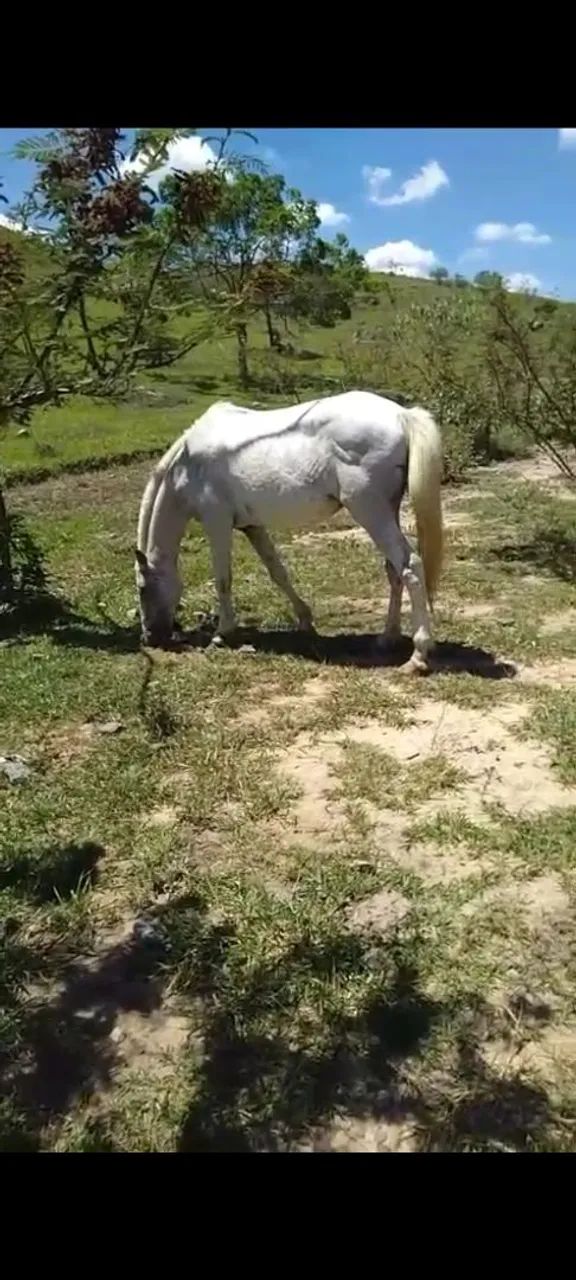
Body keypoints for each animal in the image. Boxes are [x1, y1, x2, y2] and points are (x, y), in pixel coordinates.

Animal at [135, 389, 444, 674]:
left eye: (142, 589)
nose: (149, 637)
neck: (189, 463)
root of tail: (402, 415)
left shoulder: (217, 523)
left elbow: (223, 580)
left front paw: (223, 633)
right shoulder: (251, 526)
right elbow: (277, 572)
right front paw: (305, 620)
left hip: (370, 511)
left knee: (410, 566)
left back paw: (417, 657)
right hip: (386, 511)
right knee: (394, 570)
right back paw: (387, 638)